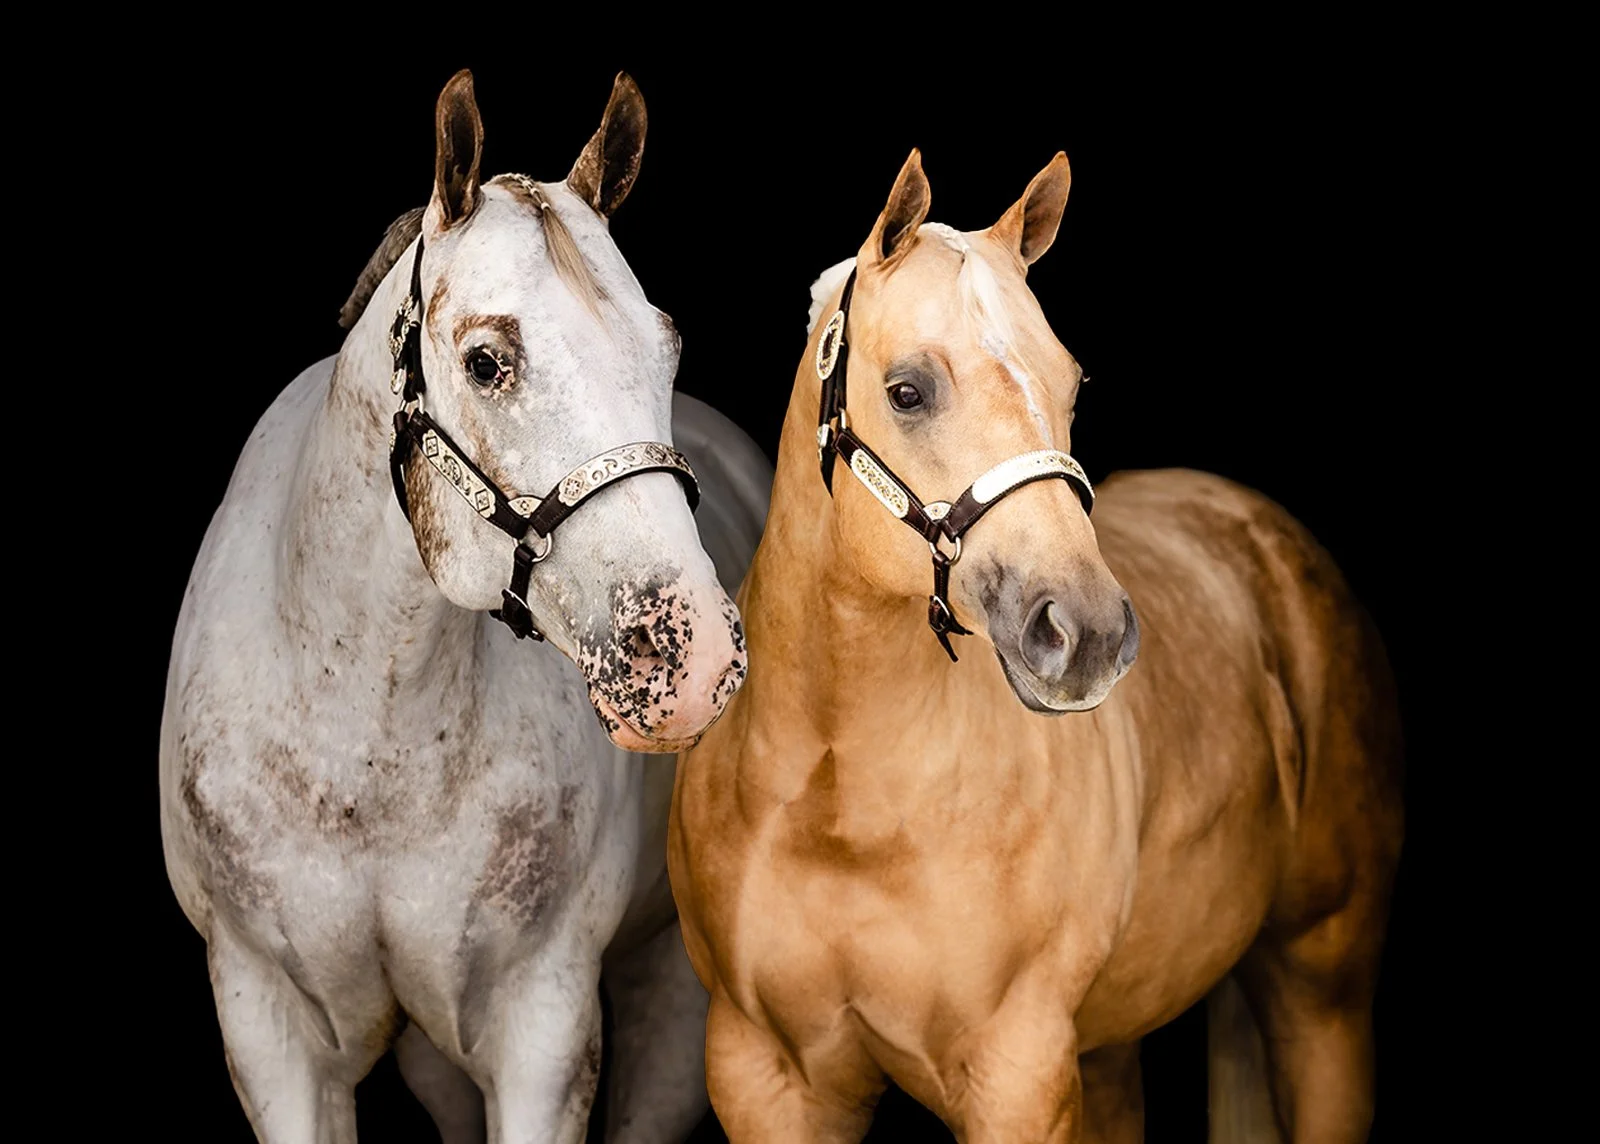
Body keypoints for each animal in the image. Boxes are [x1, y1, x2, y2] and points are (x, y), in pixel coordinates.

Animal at [159, 70, 772, 1144]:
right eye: (487, 361)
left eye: (666, 347)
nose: (693, 663)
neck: (368, 741)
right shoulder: (268, 1025)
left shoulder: (544, 1030)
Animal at [668, 149, 1404, 1143]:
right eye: (907, 391)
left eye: (1071, 384)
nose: (1086, 632)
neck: (840, 805)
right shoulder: (764, 1076)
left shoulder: (1015, 1075)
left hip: (1323, 997)